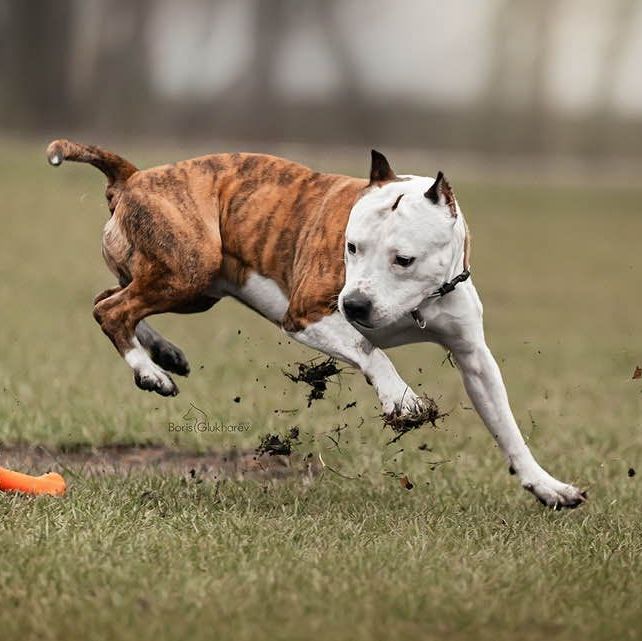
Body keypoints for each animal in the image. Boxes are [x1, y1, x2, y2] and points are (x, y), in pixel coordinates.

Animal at [46, 138, 584, 508]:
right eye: (351, 247)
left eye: (403, 259)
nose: (356, 306)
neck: (414, 304)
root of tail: (137, 177)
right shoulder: (306, 314)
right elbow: (371, 351)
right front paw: (401, 399)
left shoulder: (474, 357)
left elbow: (506, 426)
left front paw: (547, 486)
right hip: (191, 267)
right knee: (111, 309)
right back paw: (148, 370)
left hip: (193, 287)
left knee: (111, 297)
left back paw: (161, 352)